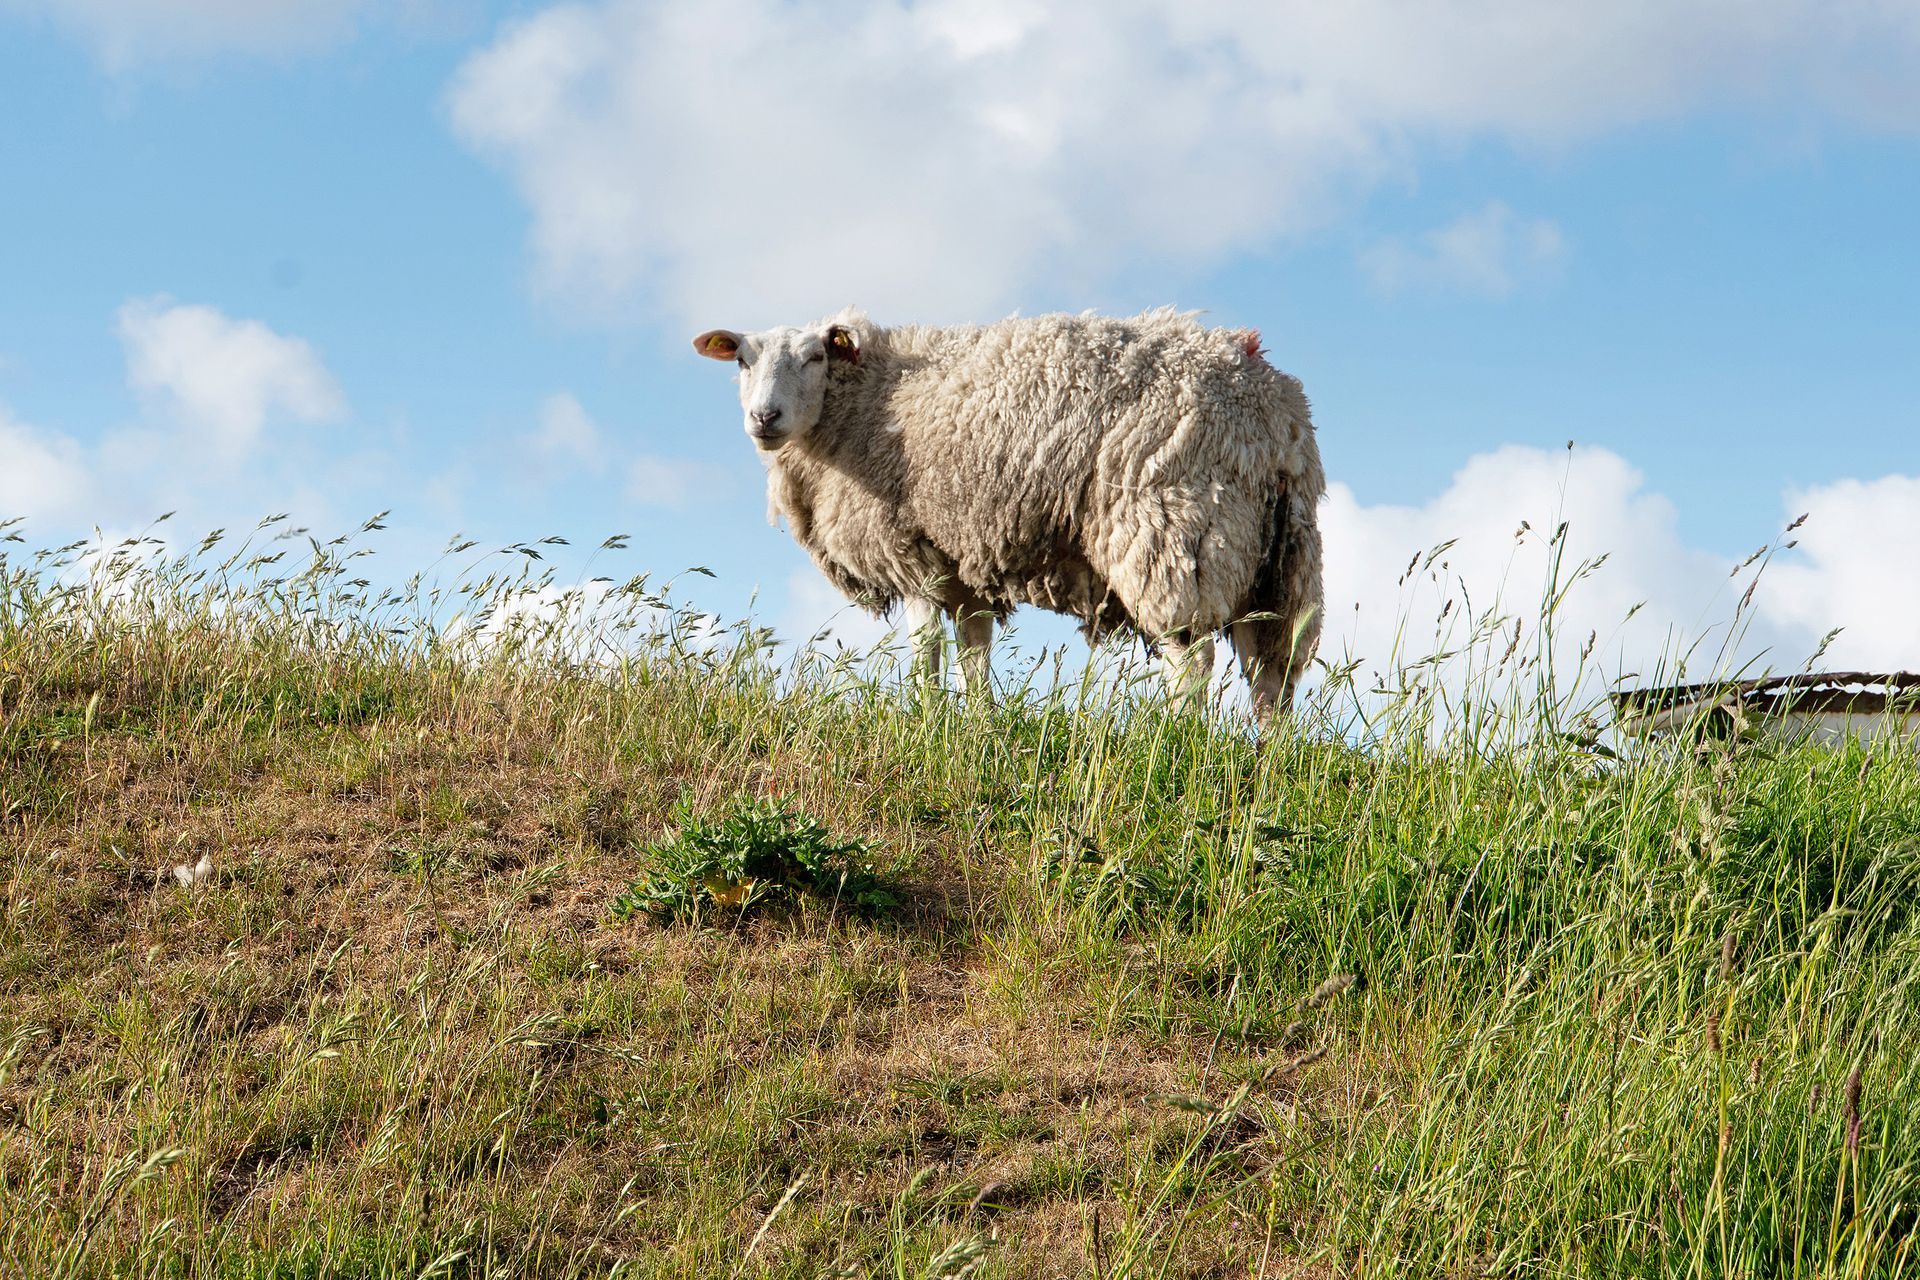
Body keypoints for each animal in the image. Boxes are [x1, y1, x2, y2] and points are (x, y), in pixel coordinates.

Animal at [692, 307, 1325, 722]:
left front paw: (926, 722)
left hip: (1174, 529)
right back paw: (1265, 760)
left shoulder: (909, 550)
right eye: (742, 360)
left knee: (1192, 658)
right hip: (1274, 555)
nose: (764, 417)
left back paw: (1176, 742)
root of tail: (1276, 414)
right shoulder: (961, 567)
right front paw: (978, 724)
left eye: (816, 355)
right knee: (1269, 670)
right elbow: (973, 652)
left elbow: (925, 650)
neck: (867, 400)